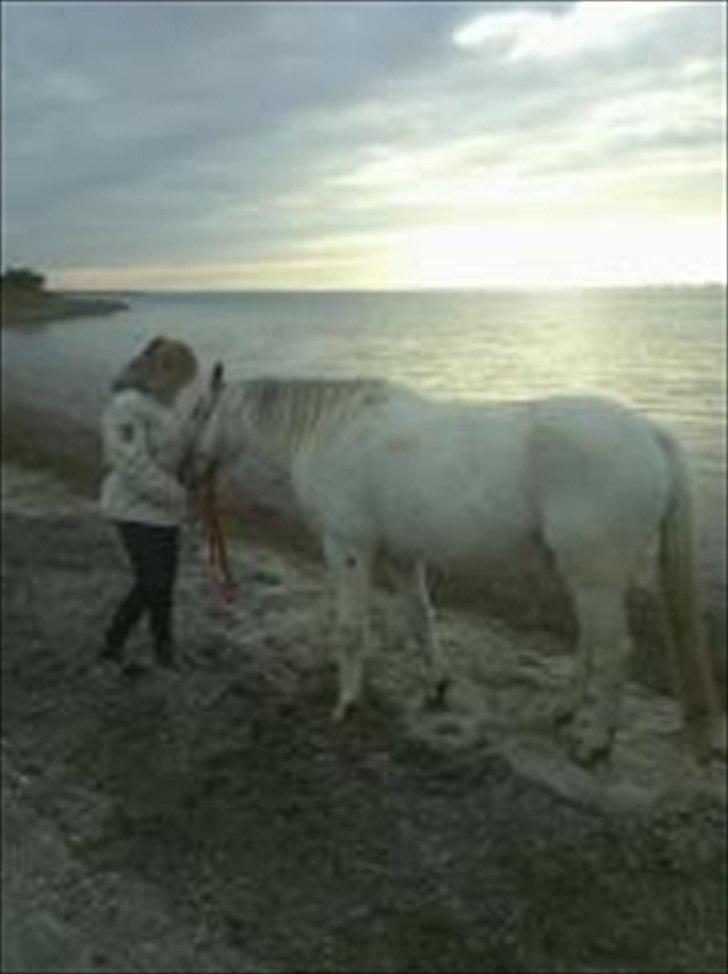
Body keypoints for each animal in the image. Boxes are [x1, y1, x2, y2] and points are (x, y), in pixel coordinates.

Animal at [188, 366, 716, 772]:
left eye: (198, 412)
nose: (187, 471)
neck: (333, 429)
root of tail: (651, 436)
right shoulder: (402, 557)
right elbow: (421, 620)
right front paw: (437, 686)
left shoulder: (348, 548)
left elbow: (351, 629)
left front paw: (347, 702)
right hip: (586, 576)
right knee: (590, 643)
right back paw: (563, 712)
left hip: (594, 576)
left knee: (612, 652)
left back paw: (596, 743)